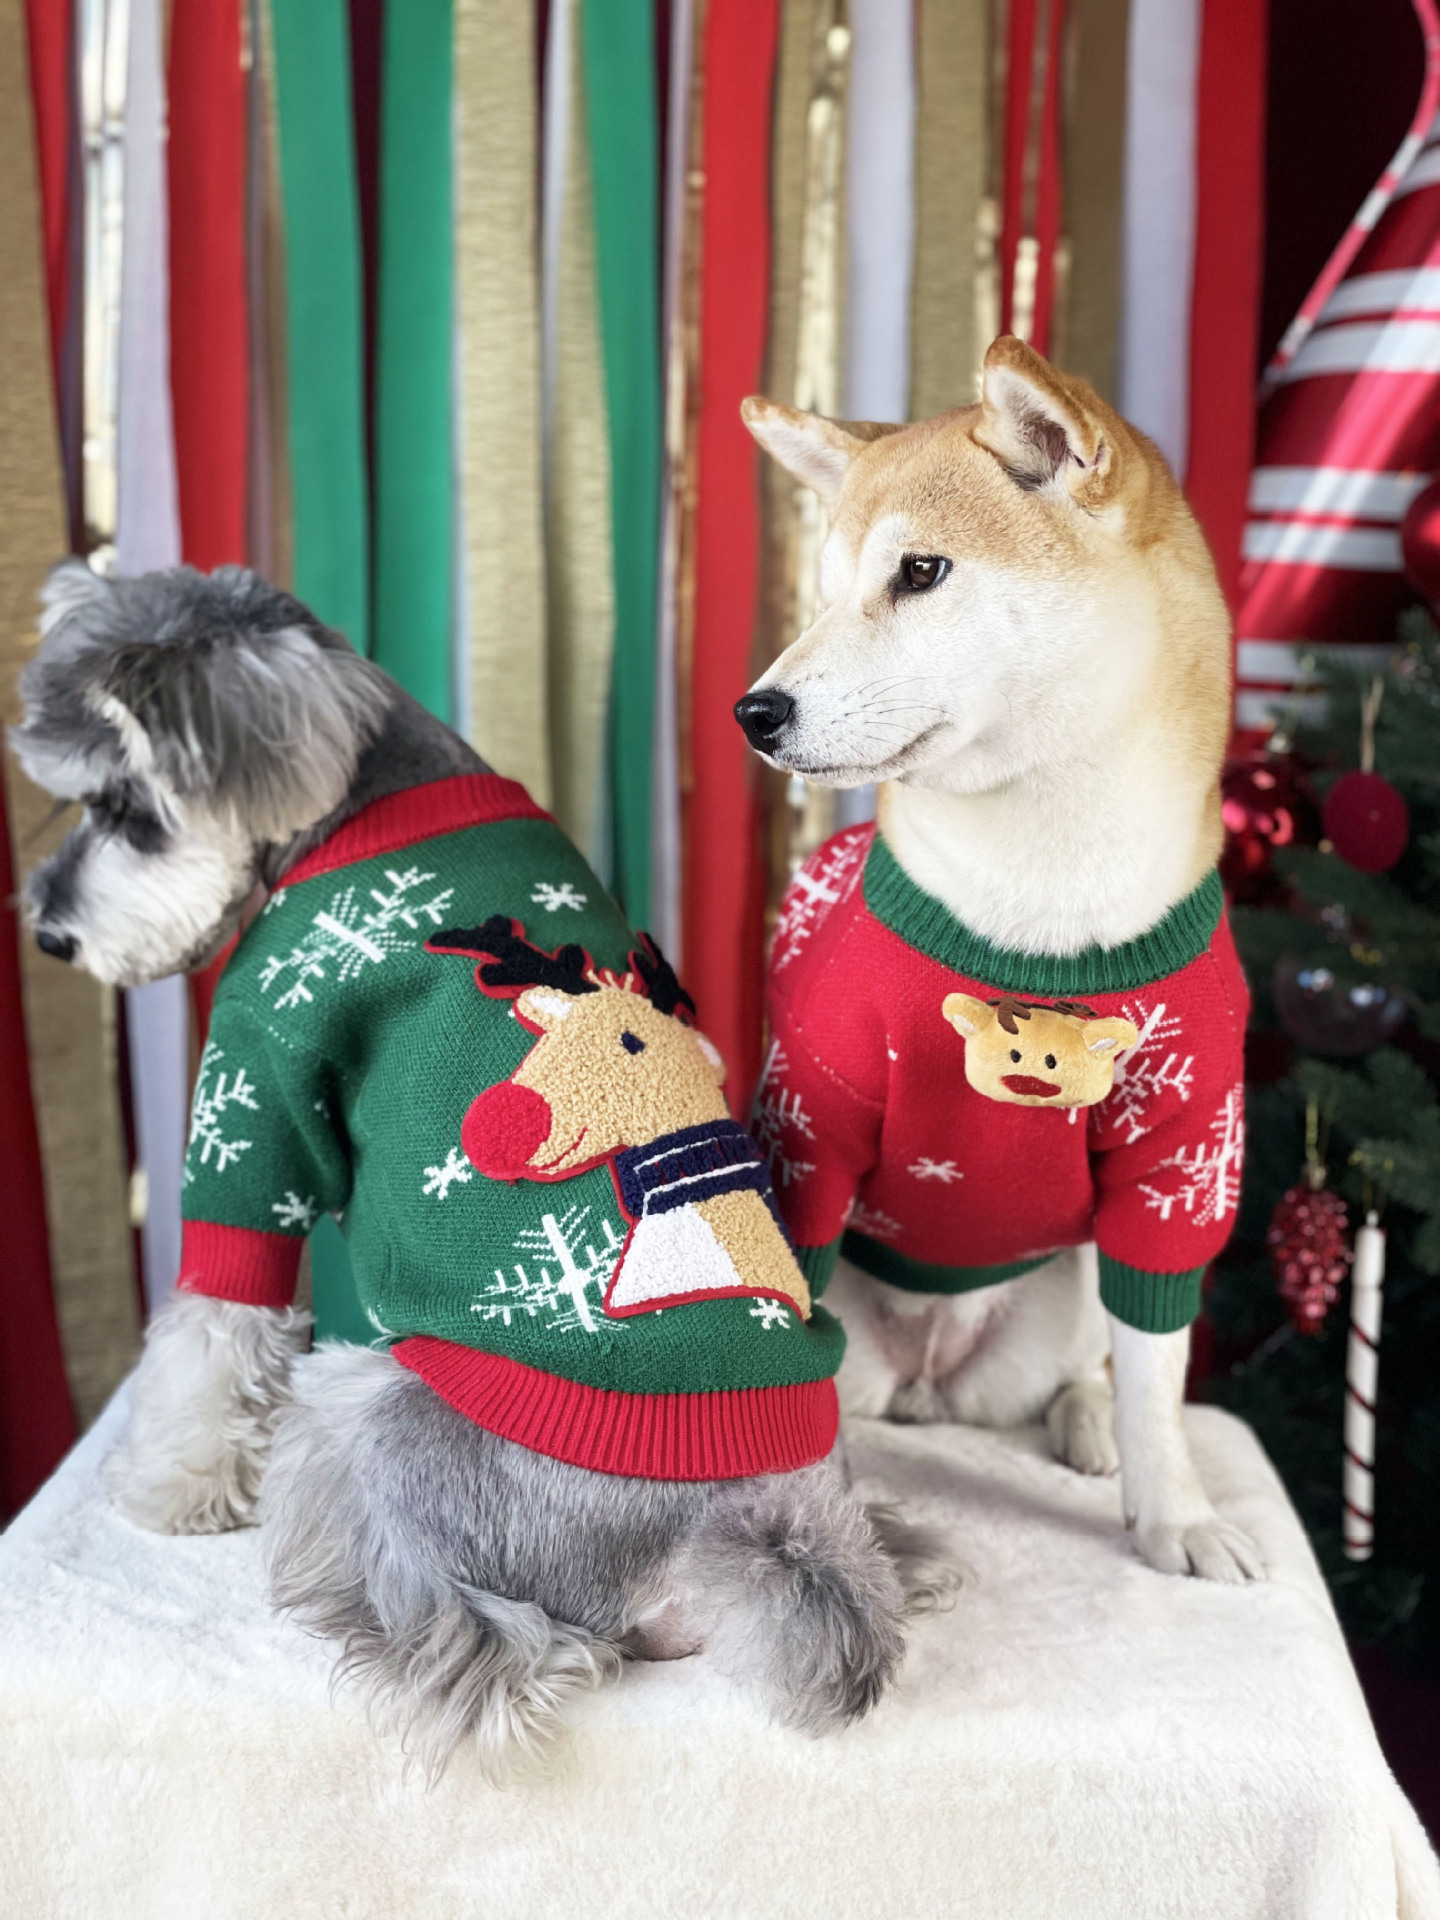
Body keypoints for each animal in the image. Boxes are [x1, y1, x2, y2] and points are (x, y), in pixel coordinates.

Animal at [11, 560, 952, 1781]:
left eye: (126, 810)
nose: (50, 935)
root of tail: (726, 1539)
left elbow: (215, 1308)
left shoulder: (257, 1087)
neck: (371, 797)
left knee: (469, 1629)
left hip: (362, 1403)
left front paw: (171, 1488)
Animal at [737, 334, 1267, 1589]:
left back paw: (1085, 1425)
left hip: (1060, 1298)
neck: (1037, 921)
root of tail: (935, 1384)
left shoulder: (1184, 1155)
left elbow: (1161, 1374)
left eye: (920, 573)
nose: (754, 712)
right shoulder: (813, 1129)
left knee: (1094, 1364)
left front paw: (1174, 1514)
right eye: (822, 592)